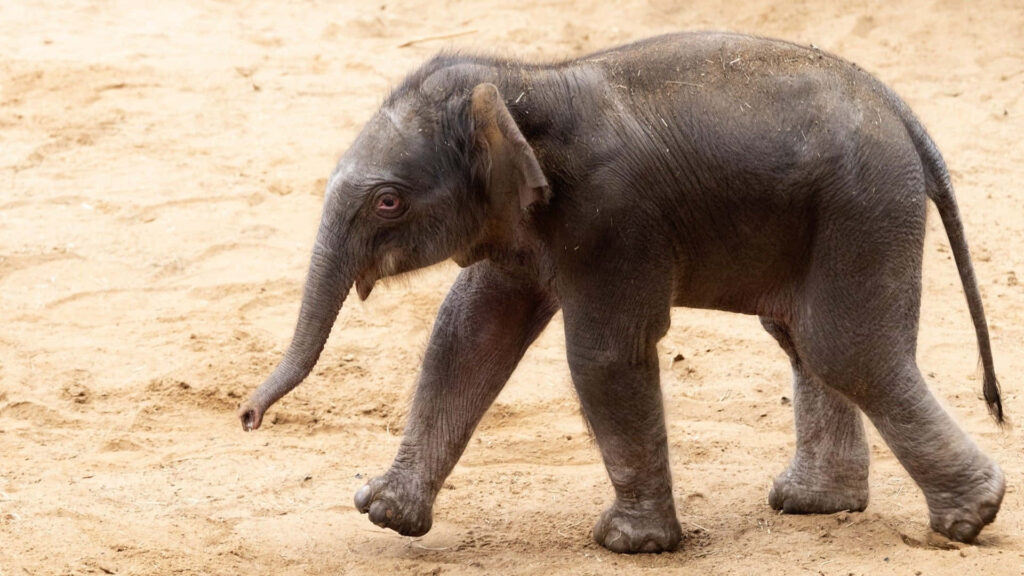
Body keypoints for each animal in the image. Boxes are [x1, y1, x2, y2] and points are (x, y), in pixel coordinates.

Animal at [237, 31, 1005, 554]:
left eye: (389, 201)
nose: (246, 418)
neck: (525, 82)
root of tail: (903, 114)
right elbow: (467, 335)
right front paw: (385, 514)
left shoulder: (612, 217)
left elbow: (603, 356)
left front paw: (630, 545)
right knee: (803, 340)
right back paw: (815, 505)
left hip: (863, 206)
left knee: (846, 348)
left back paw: (971, 517)